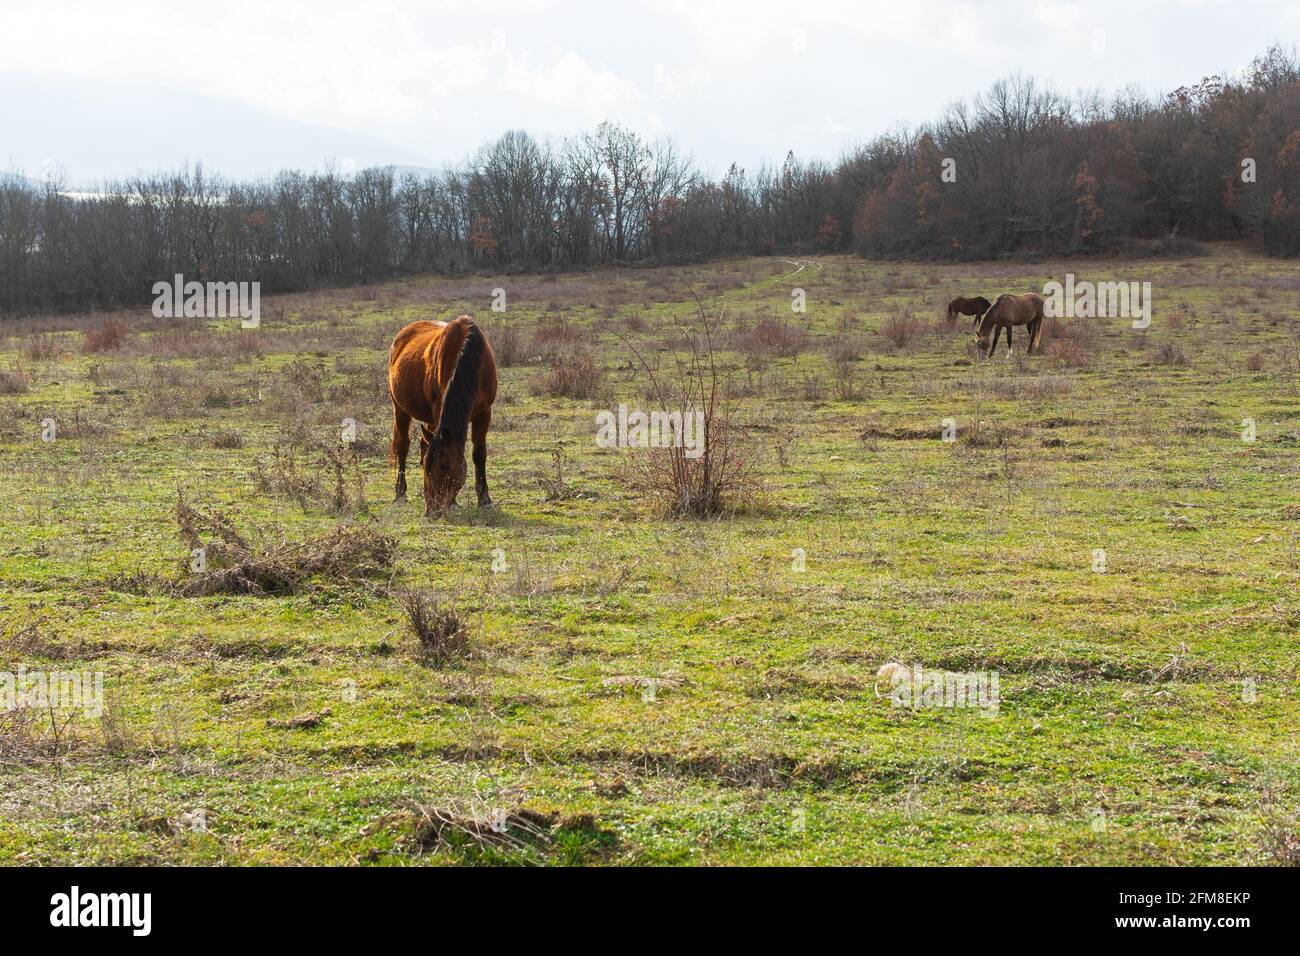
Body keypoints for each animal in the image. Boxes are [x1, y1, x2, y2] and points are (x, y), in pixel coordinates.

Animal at [384, 316, 496, 515]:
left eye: (446, 465)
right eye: (428, 469)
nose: (432, 509)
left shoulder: (484, 413)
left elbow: (479, 454)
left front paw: (484, 499)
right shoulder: (438, 411)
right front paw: (454, 502)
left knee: (423, 443)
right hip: (400, 408)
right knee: (403, 446)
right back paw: (400, 492)